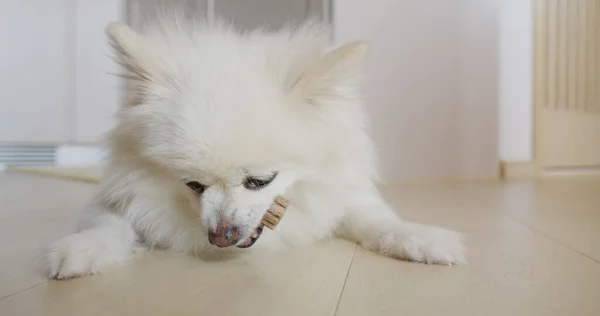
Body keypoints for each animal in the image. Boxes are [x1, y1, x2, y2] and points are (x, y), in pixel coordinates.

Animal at [44, 16, 466, 278]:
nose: (220, 236)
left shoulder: (339, 196)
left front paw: (421, 239)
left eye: (260, 181)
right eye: (193, 185)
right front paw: (81, 250)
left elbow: (377, 220)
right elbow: (107, 223)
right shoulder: (115, 198)